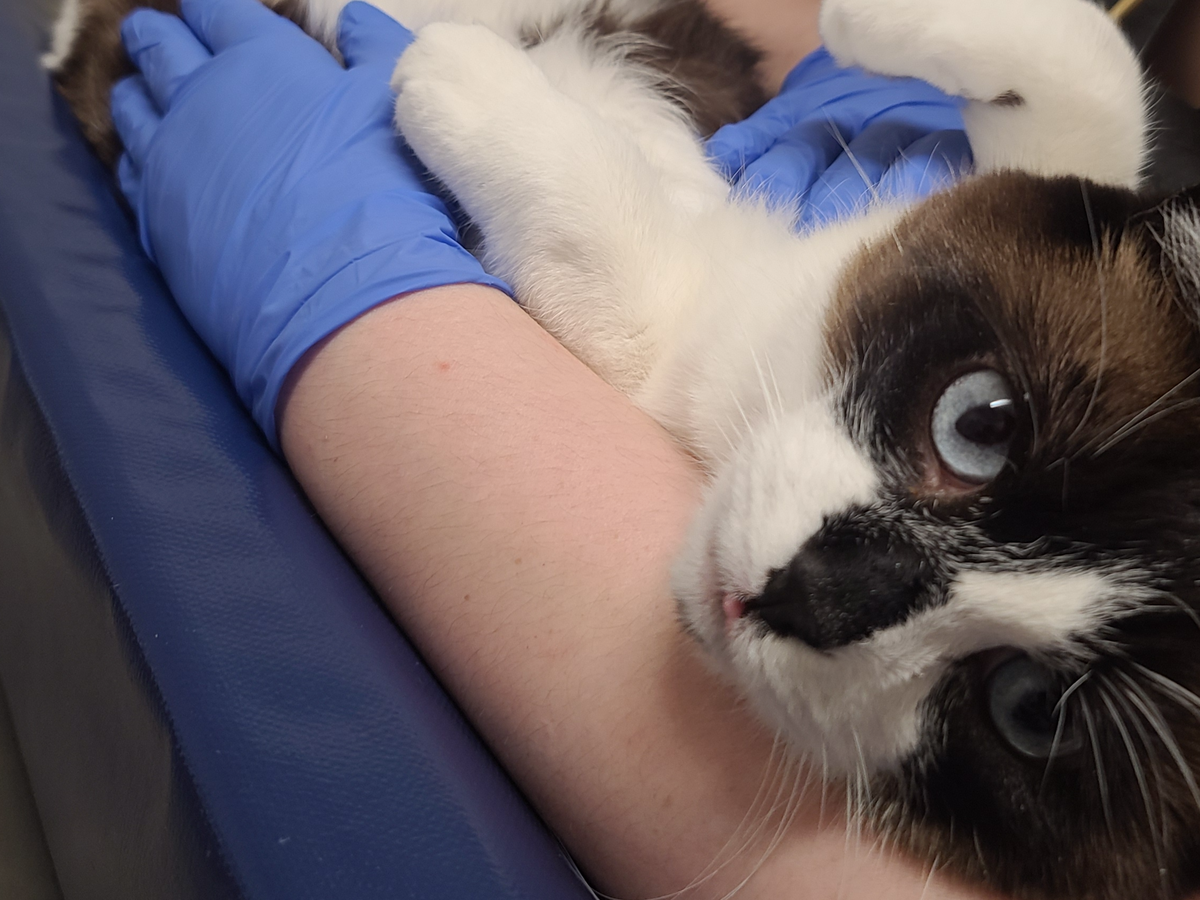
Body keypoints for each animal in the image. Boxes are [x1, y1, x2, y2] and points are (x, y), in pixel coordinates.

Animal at [47, 0, 1200, 897]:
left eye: (1030, 709)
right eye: (979, 424)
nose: (808, 590)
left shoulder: (659, 338)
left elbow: (583, 208)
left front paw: (458, 79)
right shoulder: (985, 211)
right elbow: (1092, 94)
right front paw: (877, 28)